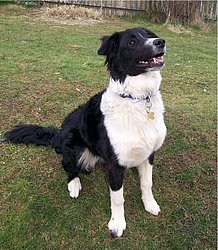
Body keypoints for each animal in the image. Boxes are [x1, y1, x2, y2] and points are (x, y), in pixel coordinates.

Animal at [2, 27, 167, 238]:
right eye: (132, 42)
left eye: (149, 35)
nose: (160, 42)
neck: (137, 98)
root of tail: (57, 136)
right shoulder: (115, 165)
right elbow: (117, 198)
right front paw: (117, 223)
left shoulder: (149, 153)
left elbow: (147, 183)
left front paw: (150, 204)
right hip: (72, 143)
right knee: (68, 166)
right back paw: (74, 184)